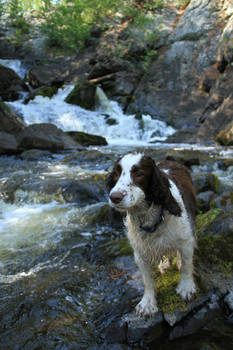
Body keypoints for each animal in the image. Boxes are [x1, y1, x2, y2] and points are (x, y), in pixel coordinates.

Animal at [107, 152, 197, 318]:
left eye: (139, 174)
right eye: (116, 174)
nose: (114, 197)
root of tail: (170, 160)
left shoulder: (186, 240)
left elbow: (187, 265)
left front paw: (186, 287)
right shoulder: (140, 252)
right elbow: (147, 280)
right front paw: (148, 303)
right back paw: (164, 264)